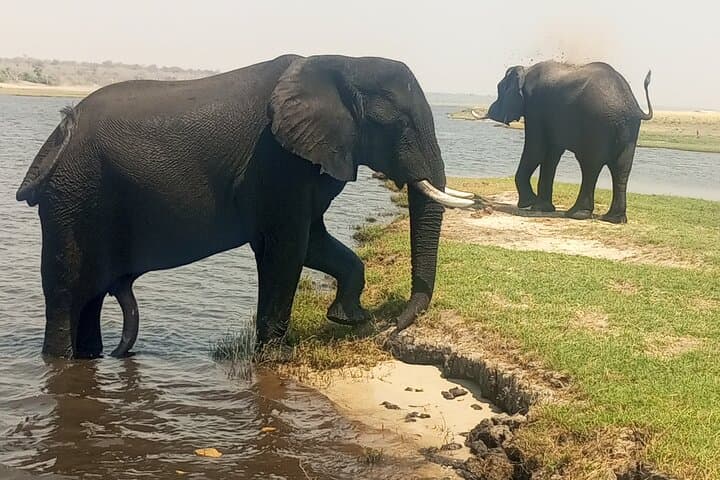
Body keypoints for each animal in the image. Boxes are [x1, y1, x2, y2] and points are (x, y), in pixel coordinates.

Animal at [16, 54, 475, 359]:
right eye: (396, 124)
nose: (390, 330)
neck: (342, 61)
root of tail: (60, 132)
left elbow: (313, 243)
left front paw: (349, 318)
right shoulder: (278, 163)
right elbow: (287, 248)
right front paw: (277, 358)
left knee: (89, 294)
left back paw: (93, 357)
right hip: (72, 198)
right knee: (65, 289)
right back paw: (60, 361)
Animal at [481, 61, 653, 223]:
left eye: (499, 89)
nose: (491, 111)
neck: (526, 70)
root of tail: (631, 106)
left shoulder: (535, 108)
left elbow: (536, 150)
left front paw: (528, 203)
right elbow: (551, 155)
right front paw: (542, 208)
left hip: (596, 124)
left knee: (590, 166)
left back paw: (577, 214)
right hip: (628, 130)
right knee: (621, 168)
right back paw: (614, 219)